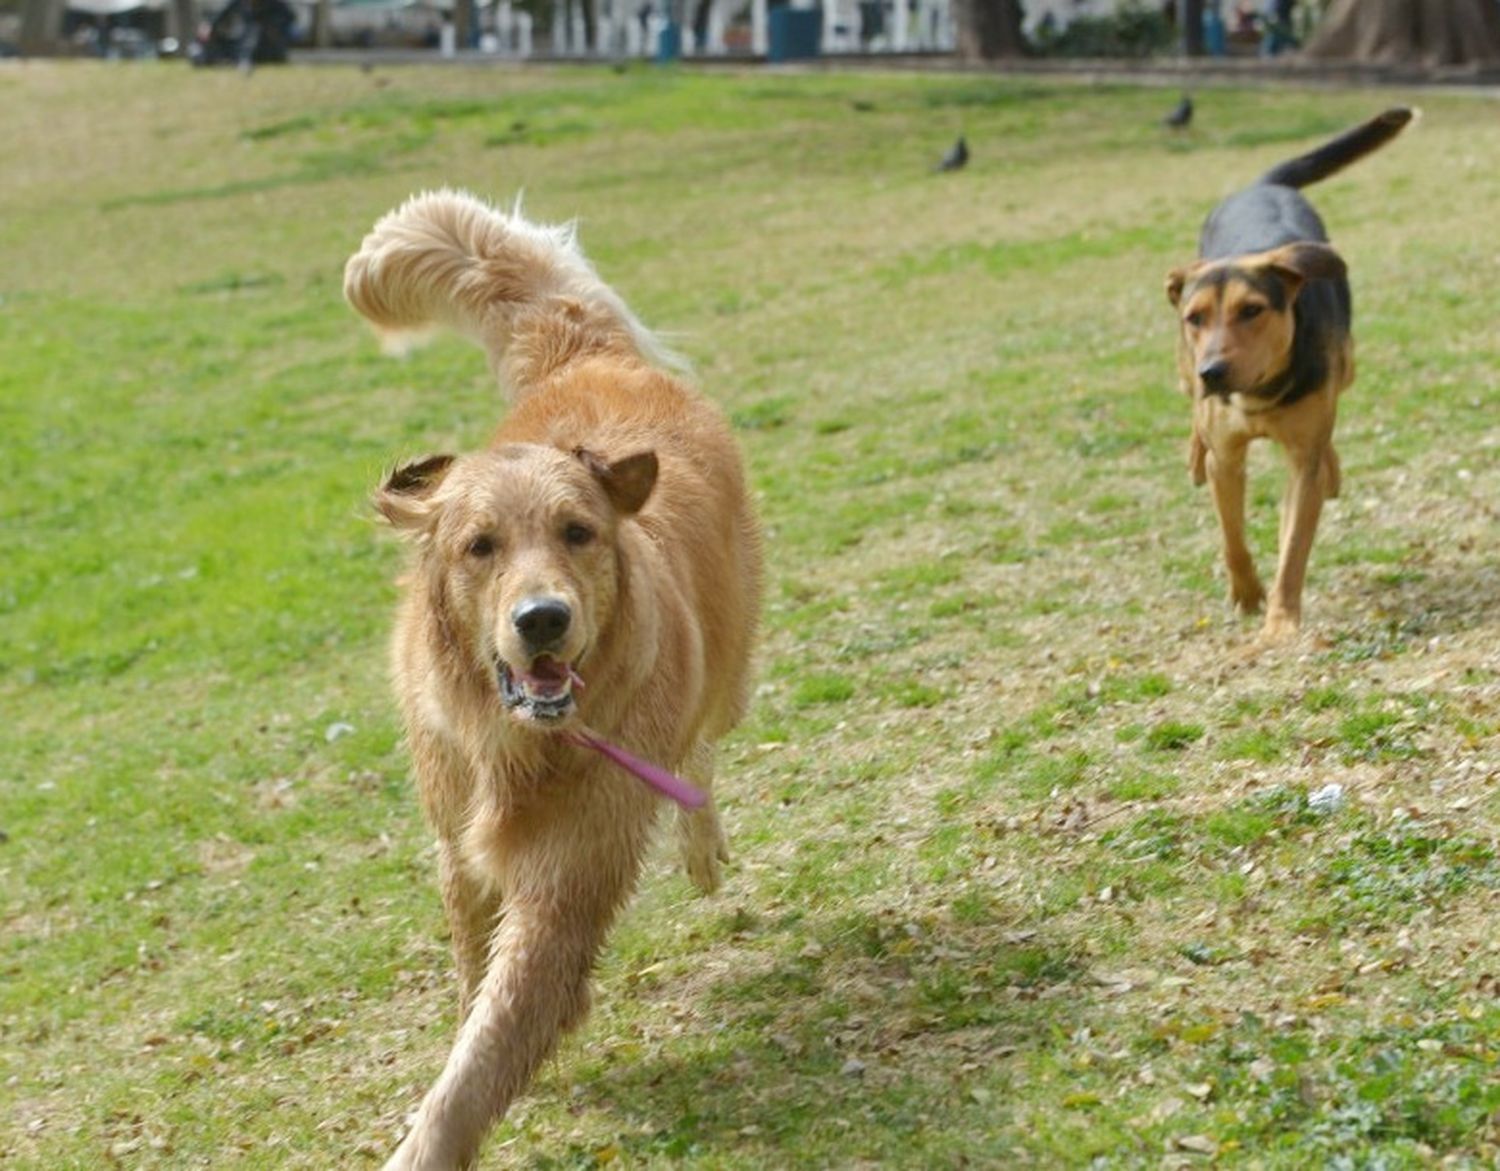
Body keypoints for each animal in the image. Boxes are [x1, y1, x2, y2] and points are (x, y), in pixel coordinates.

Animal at [343, 191, 762, 1169]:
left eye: (578, 532)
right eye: (479, 546)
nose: (542, 619)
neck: (520, 745)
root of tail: (590, 353)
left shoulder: (568, 876)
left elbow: (481, 1055)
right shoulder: (462, 848)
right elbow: (474, 989)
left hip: (728, 669)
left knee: (702, 747)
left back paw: (701, 840)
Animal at [1164, 107, 1410, 638]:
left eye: (1252, 310)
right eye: (1195, 317)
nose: (1214, 371)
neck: (1260, 390)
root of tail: (1262, 185)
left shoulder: (1301, 458)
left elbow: (1294, 543)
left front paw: (1279, 622)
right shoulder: (1226, 455)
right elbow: (1231, 534)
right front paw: (1246, 594)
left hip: (1347, 364)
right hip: (1183, 369)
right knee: (1191, 410)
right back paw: (1193, 451)